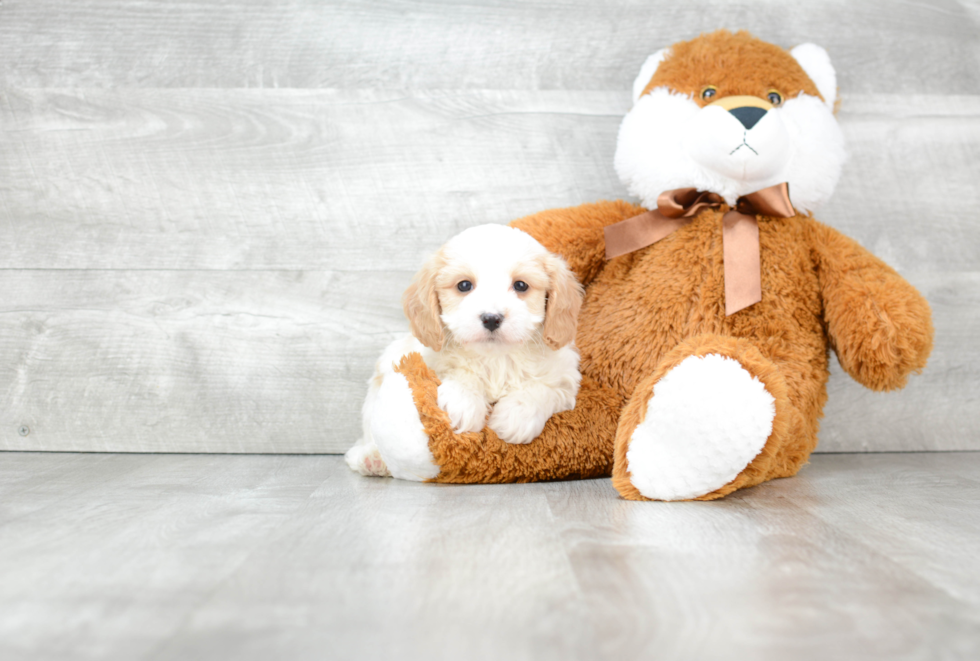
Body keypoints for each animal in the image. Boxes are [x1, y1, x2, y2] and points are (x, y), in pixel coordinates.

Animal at [344, 224, 580, 476]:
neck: (496, 358)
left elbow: (542, 387)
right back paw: (372, 457)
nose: (491, 318)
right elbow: (459, 373)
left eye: (521, 285)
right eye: (464, 285)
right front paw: (463, 403)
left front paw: (515, 416)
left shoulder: (564, 374)